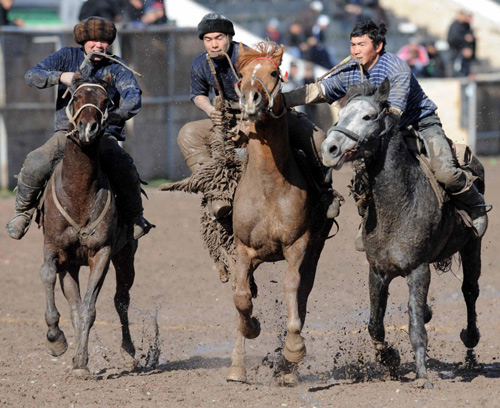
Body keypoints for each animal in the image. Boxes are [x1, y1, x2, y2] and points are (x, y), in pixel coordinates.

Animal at [39, 73, 137, 376]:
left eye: (106, 101)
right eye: (75, 97)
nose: (88, 128)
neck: (79, 195)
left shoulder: (102, 253)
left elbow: (90, 308)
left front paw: (81, 360)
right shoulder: (54, 249)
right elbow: (48, 275)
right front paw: (55, 339)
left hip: (126, 255)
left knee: (121, 300)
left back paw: (129, 352)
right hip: (71, 266)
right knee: (74, 304)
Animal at [229, 42, 334, 386]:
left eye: (274, 73)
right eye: (242, 75)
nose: (251, 99)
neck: (268, 186)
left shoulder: (298, 244)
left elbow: (291, 285)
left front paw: (293, 350)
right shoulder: (243, 249)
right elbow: (241, 297)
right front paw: (250, 330)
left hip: (315, 249)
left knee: (302, 291)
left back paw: (289, 370)